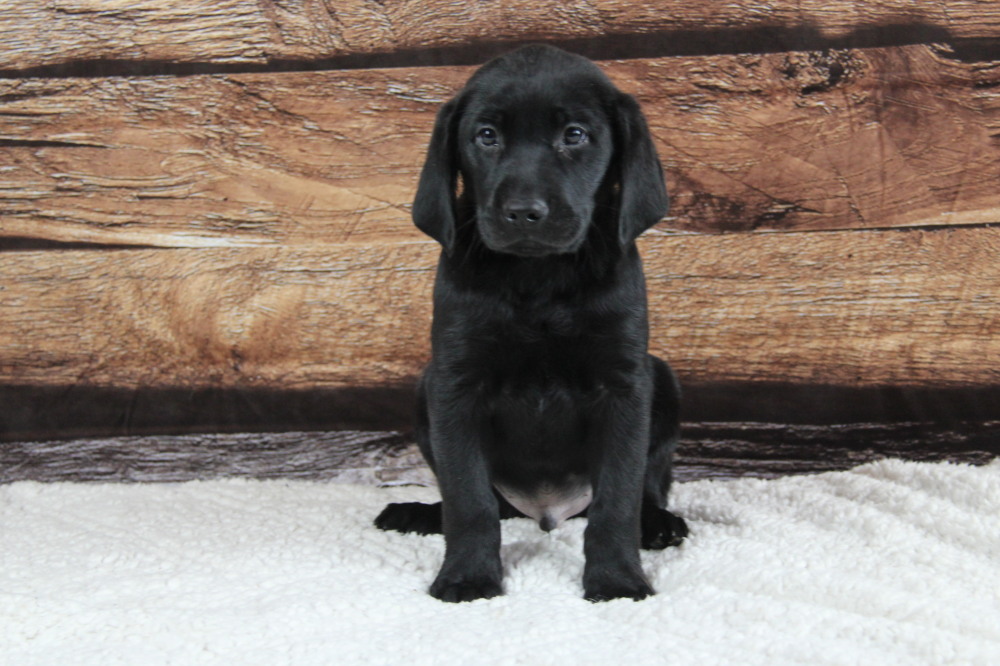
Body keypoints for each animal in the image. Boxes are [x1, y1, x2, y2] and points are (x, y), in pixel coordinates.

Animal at [376, 44, 688, 600]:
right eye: (486, 136)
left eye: (575, 135)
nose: (524, 212)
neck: (538, 278)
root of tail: (547, 512)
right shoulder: (454, 383)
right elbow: (469, 500)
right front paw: (468, 576)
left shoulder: (624, 385)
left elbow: (618, 499)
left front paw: (617, 580)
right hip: (423, 389)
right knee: (488, 504)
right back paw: (421, 513)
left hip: (663, 380)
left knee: (645, 486)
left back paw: (657, 524)